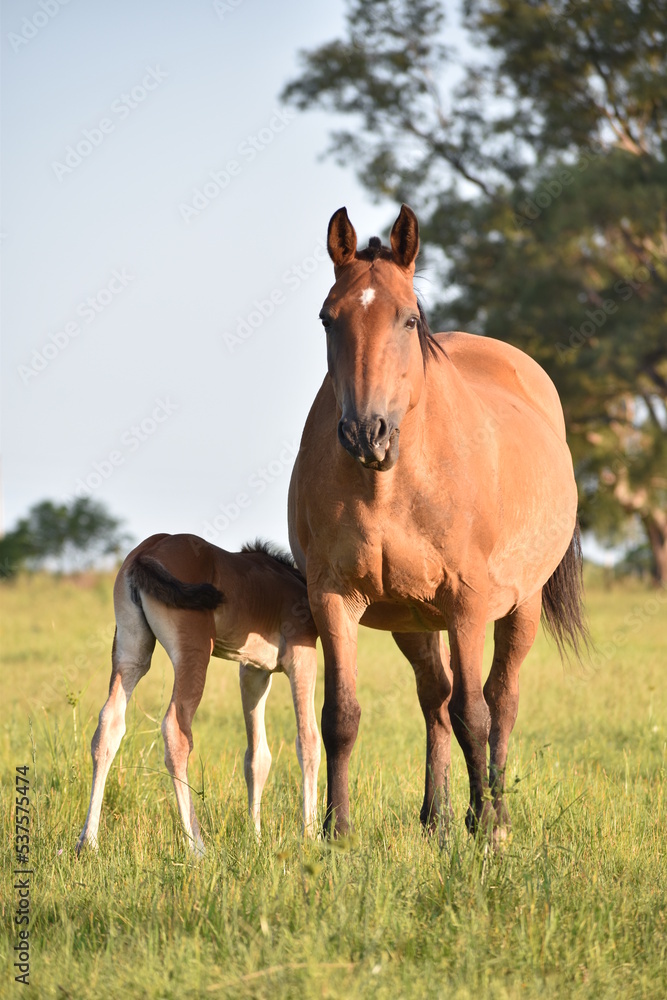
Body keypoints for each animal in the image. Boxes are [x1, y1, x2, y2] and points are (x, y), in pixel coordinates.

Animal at [76, 534, 320, 856]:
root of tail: (147, 552)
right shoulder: (300, 658)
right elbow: (308, 741)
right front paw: (312, 836)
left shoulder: (254, 672)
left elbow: (257, 757)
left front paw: (255, 839)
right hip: (195, 653)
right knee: (175, 731)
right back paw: (197, 847)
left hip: (131, 652)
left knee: (109, 725)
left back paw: (88, 842)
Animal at [287, 204, 588, 844]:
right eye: (328, 319)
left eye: (408, 320)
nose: (366, 433)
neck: (389, 483)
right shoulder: (333, 597)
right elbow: (341, 716)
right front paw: (336, 831)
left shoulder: (467, 603)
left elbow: (474, 713)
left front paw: (489, 828)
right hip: (413, 618)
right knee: (435, 698)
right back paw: (437, 816)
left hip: (518, 607)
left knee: (499, 700)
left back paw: (491, 810)